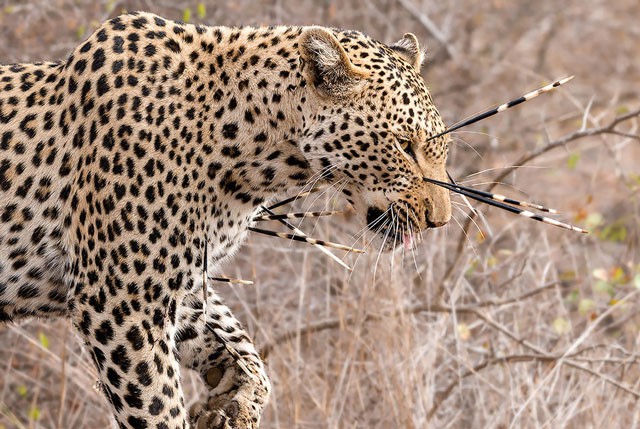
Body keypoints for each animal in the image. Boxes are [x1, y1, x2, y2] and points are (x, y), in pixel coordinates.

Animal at [0, 10, 450, 428]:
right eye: (404, 145)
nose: (440, 221)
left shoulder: (179, 285)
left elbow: (241, 346)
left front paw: (234, 401)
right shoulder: (121, 299)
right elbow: (158, 404)